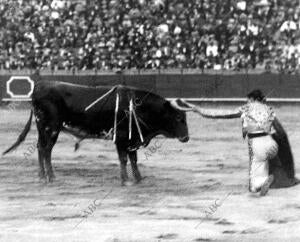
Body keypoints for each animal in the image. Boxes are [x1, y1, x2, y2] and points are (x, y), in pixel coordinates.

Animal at [2, 81, 190, 183]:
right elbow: (124, 159)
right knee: (46, 150)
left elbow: (133, 159)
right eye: (178, 118)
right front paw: (125, 179)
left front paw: (138, 179)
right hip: (51, 128)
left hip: (44, 129)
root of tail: (40, 86)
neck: (137, 107)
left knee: (40, 148)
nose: (186, 137)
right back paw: (51, 176)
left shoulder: (133, 139)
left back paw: (42, 175)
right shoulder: (121, 138)